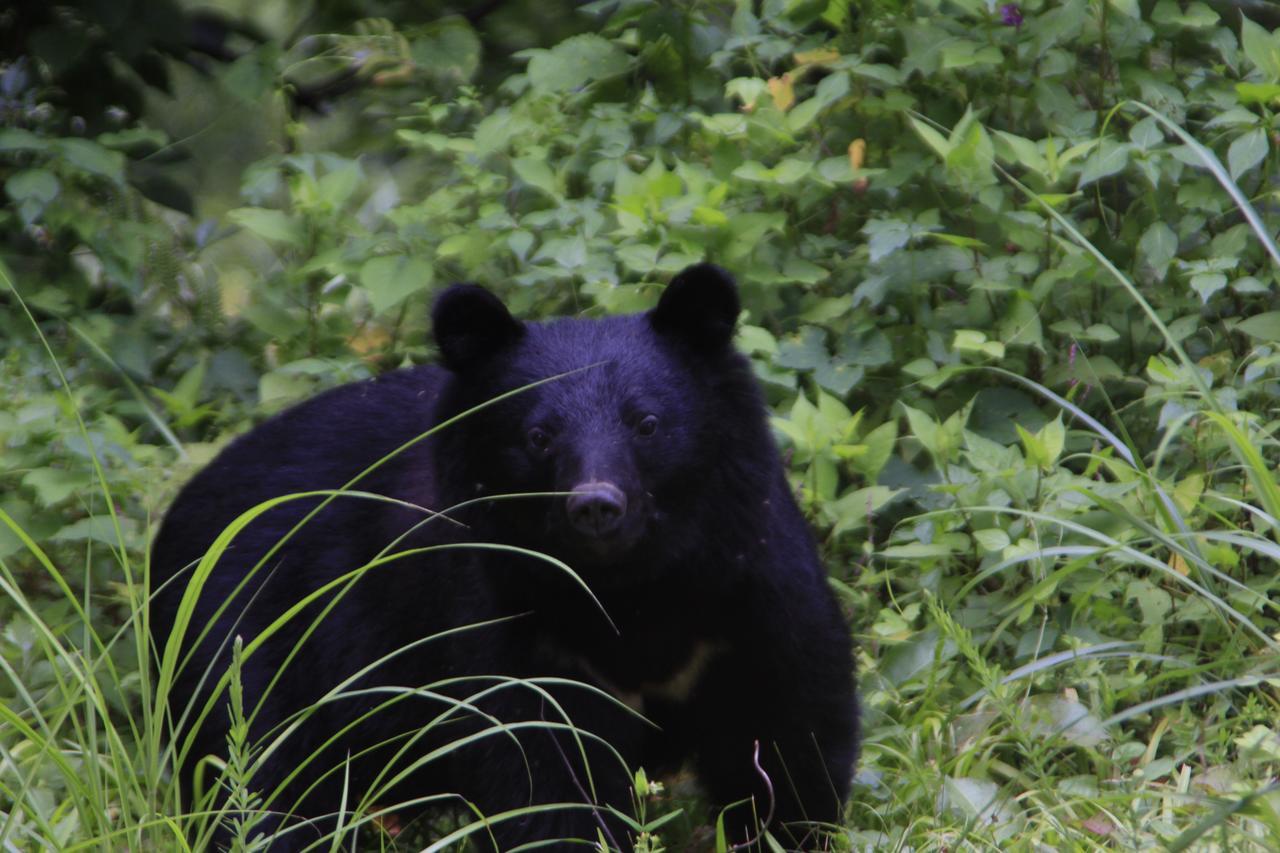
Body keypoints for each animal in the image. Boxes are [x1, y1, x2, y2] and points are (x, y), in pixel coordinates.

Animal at [152, 262, 860, 845]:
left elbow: (789, 735)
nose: (596, 505)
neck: (628, 587)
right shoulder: (502, 618)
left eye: (648, 424)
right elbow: (538, 770)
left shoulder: (745, 587)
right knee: (259, 772)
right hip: (242, 634)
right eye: (539, 435)